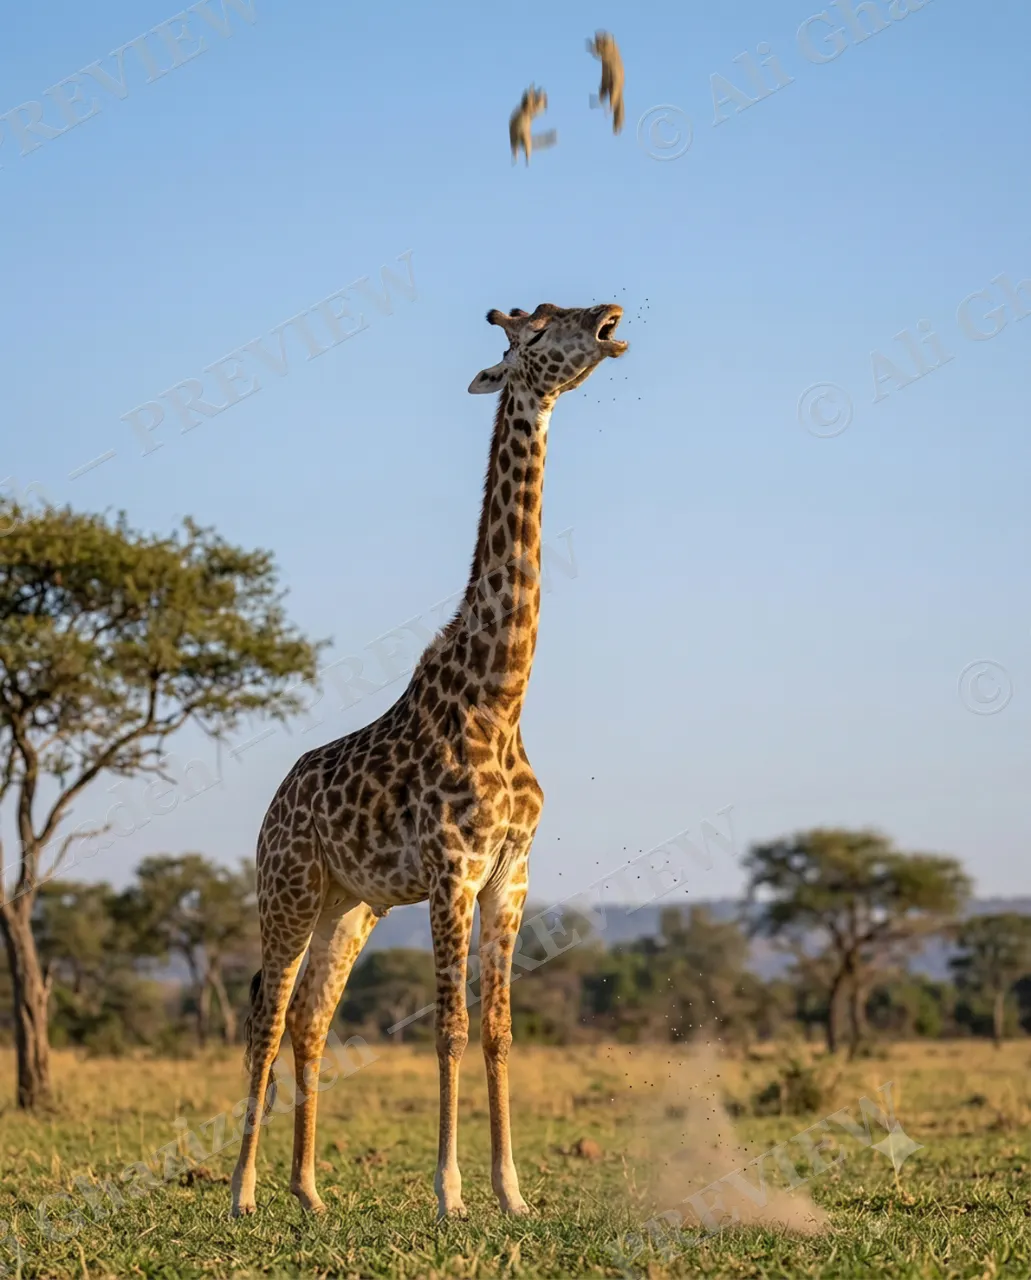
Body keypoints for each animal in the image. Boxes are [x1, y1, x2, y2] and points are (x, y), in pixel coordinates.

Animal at [229, 301, 628, 1222]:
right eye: (536, 331)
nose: (610, 317)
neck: (501, 696)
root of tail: (274, 803)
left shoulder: (510, 874)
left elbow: (497, 1031)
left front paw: (511, 1193)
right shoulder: (453, 870)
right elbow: (446, 1028)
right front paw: (449, 1194)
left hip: (351, 905)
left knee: (309, 1019)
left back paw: (309, 1192)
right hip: (288, 888)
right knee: (265, 1013)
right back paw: (242, 1192)